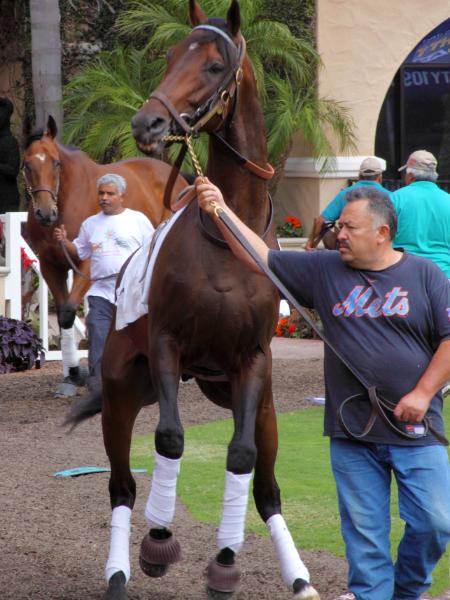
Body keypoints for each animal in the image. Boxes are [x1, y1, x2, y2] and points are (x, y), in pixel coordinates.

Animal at [22, 116, 185, 386]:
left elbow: (69, 311)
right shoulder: (50, 265)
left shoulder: (87, 264)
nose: (45, 214)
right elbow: (65, 317)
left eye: (55, 163)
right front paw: (72, 372)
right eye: (27, 165)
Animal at [67, 1, 320, 600]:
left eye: (212, 66)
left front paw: (225, 561)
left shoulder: (252, 362)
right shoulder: (166, 344)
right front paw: (158, 542)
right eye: (168, 57)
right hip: (122, 391)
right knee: (120, 485)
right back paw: (118, 571)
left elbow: (241, 456)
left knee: (267, 488)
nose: (147, 124)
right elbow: (171, 438)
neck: (226, 232)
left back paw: (298, 577)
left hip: (256, 403)